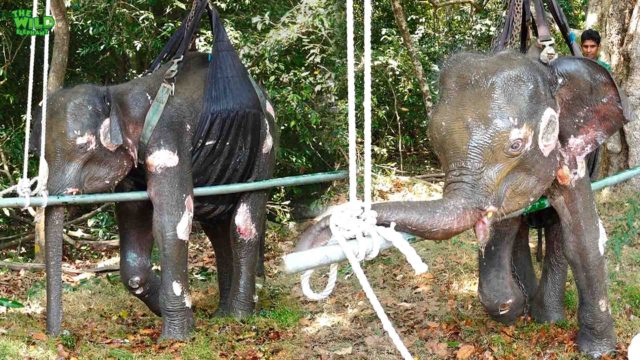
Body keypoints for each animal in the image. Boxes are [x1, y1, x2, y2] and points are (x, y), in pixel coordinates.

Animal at [33, 14, 278, 340]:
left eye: (83, 149)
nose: (57, 335)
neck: (118, 94)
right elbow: (134, 218)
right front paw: (184, 318)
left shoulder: (168, 139)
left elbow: (170, 221)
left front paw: (177, 336)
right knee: (217, 226)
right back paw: (221, 316)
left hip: (265, 146)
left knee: (244, 223)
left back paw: (239, 317)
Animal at [298, 51, 628, 358]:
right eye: (435, 142)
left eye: (516, 145)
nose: (311, 239)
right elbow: (502, 232)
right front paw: (510, 309)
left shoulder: (573, 154)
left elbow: (582, 240)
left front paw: (598, 350)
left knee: (558, 232)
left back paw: (547, 318)